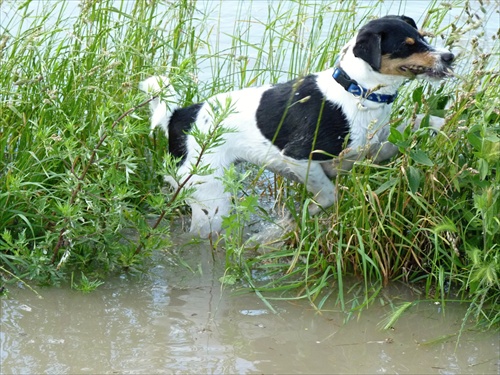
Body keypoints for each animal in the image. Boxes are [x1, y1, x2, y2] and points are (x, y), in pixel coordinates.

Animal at [140, 16, 454, 238]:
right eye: (407, 45)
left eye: (423, 38)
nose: (449, 56)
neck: (357, 92)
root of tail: (180, 115)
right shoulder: (299, 157)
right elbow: (327, 195)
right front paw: (290, 222)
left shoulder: (367, 150)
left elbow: (410, 132)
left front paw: (447, 123)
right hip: (211, 199)